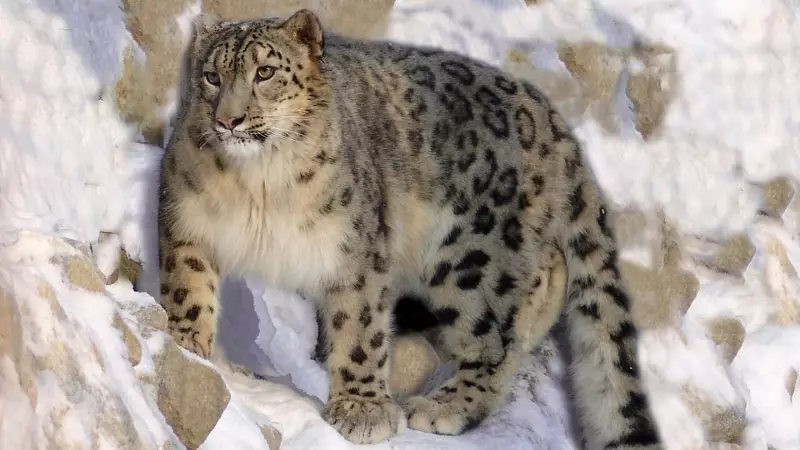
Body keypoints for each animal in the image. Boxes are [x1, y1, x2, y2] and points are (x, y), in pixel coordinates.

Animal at [157, 9, 663, 449]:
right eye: (212, 76)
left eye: (264, 72)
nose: (229, 119)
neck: (258, 186)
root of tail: (554, 121)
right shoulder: (186, 219)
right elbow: (188, 286)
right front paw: (189, 346)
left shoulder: (356, 249)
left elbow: (360, 327)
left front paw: (362, 409)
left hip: (476, 259)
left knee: (498, 336)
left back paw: (445, 405)